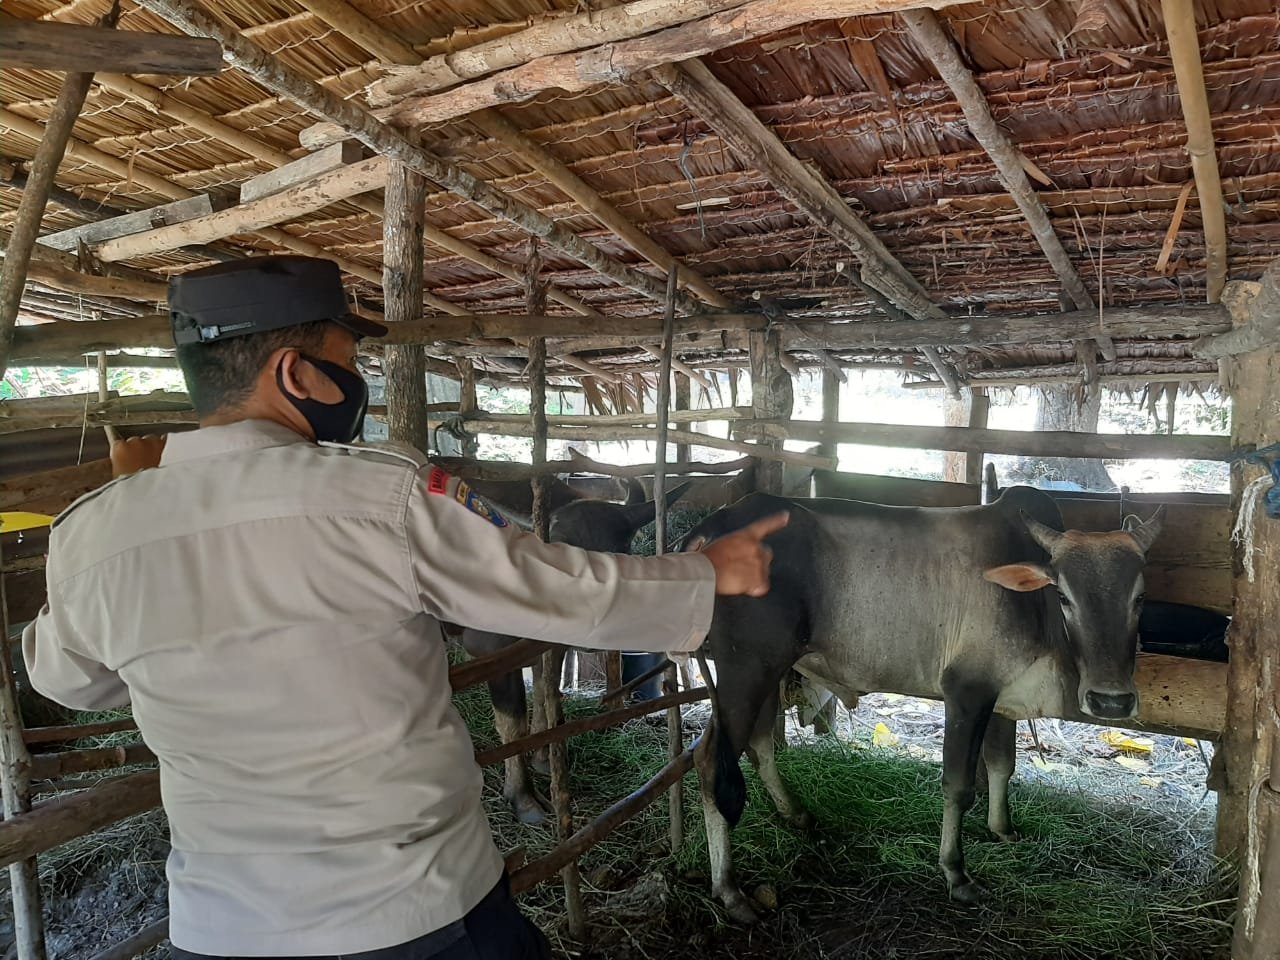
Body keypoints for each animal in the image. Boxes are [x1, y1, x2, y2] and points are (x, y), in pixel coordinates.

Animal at [461, 478, 691, 824]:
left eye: (621, 556)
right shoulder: (492, 651)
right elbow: (513, 723)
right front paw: (523, 797)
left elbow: (546, 692)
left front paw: (544, 758)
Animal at [680, 485, 1164, 920]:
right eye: (1064, 595)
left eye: (1140, 597)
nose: (1111, 702)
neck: (1034, 607)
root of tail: (715, 524)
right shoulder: (967, 692)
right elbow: (958, 786)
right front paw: (956, 873)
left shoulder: (1002, 698)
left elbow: (1002, 766)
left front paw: (1003, 829)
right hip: (748, 668)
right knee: (710, 761)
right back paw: (730, 890)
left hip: (770, 669)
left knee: (758, 744)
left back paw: (796, 814)